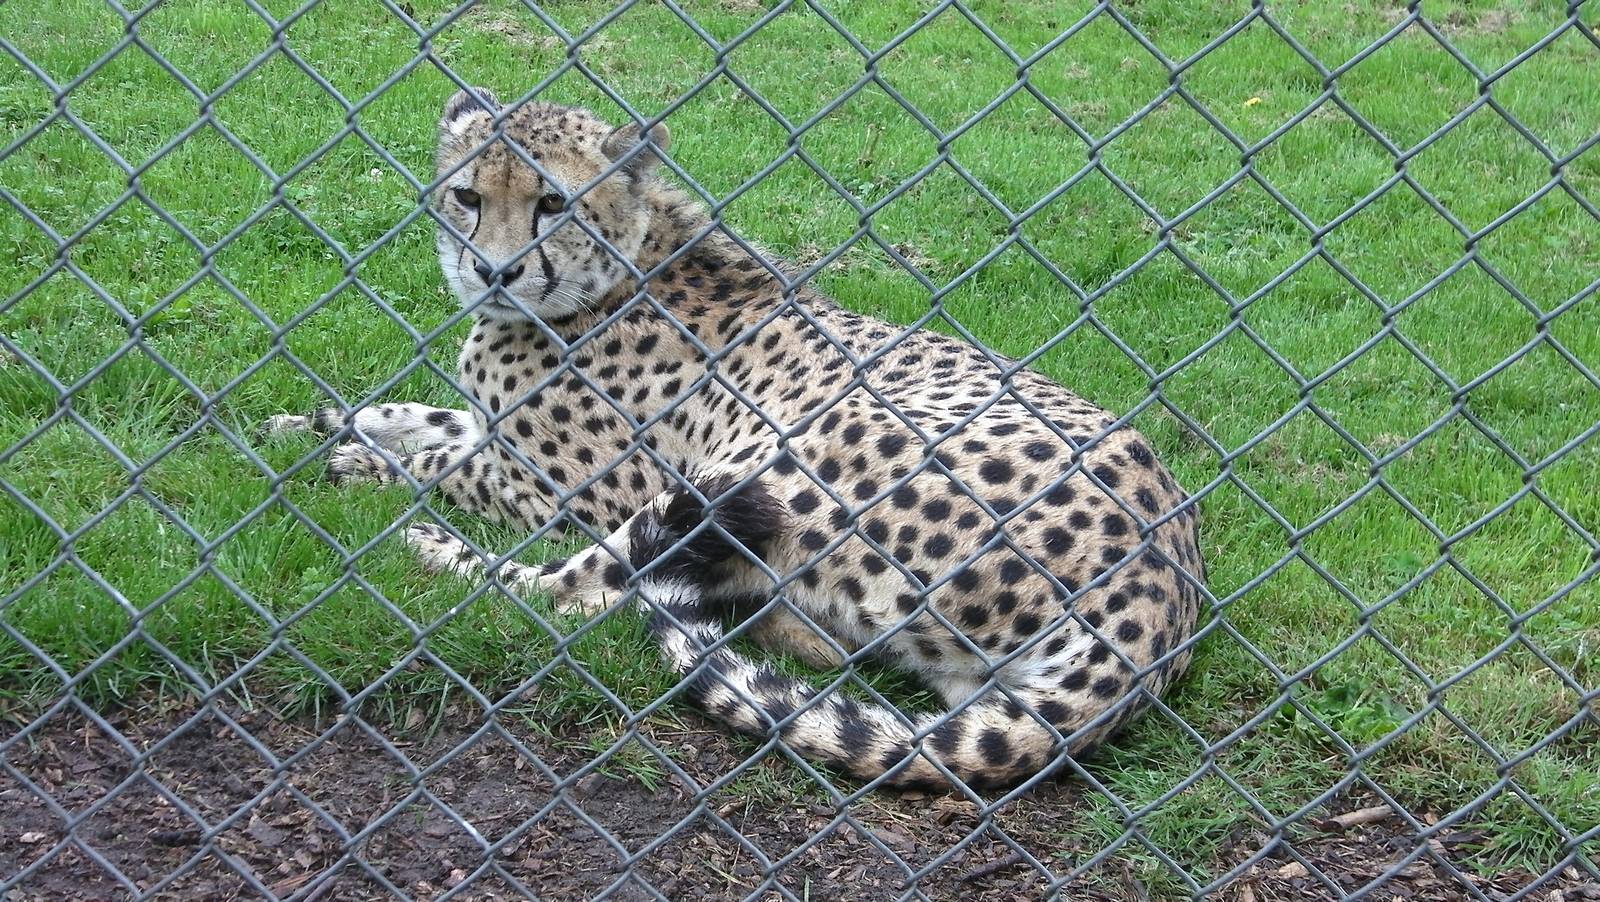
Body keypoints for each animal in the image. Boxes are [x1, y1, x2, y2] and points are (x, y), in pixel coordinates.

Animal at [264, 88, 1206, 791]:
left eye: (551, 202)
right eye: (467, 195)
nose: (492, 270)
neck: (623, 264)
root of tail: (1162, 601)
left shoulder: (570, 486)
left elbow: (435, 460)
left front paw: (355, 467)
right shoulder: (494, 429)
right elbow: (405, 412)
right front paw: (296, 425)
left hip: (780, 460)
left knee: (575, 592)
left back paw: (428, 548)